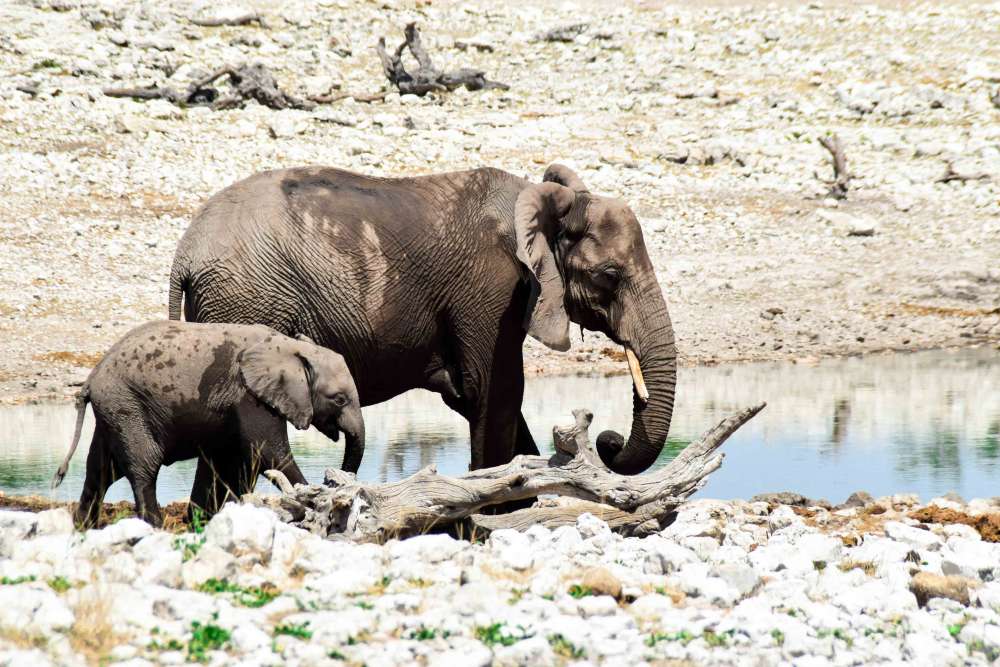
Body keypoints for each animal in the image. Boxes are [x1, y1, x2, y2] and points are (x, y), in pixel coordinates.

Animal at [50, 320, 364, 528]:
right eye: (338, 399)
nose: (335, 481)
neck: (289, 347)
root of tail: (90, 379)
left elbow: (231, 460)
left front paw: (204, 519)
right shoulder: (248, 395)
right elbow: (268, 453)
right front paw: (308, 498)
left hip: (114, 411)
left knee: (100, 470)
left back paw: (83, 526)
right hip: (127, 407)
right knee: (143, 468)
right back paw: (155, 525)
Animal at [168, 164, 676, 472]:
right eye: (610, 275)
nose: (609, 441)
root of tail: (184, 256)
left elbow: (482, 401)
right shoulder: (491, 291)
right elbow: (497, 392)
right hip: (245, 304)